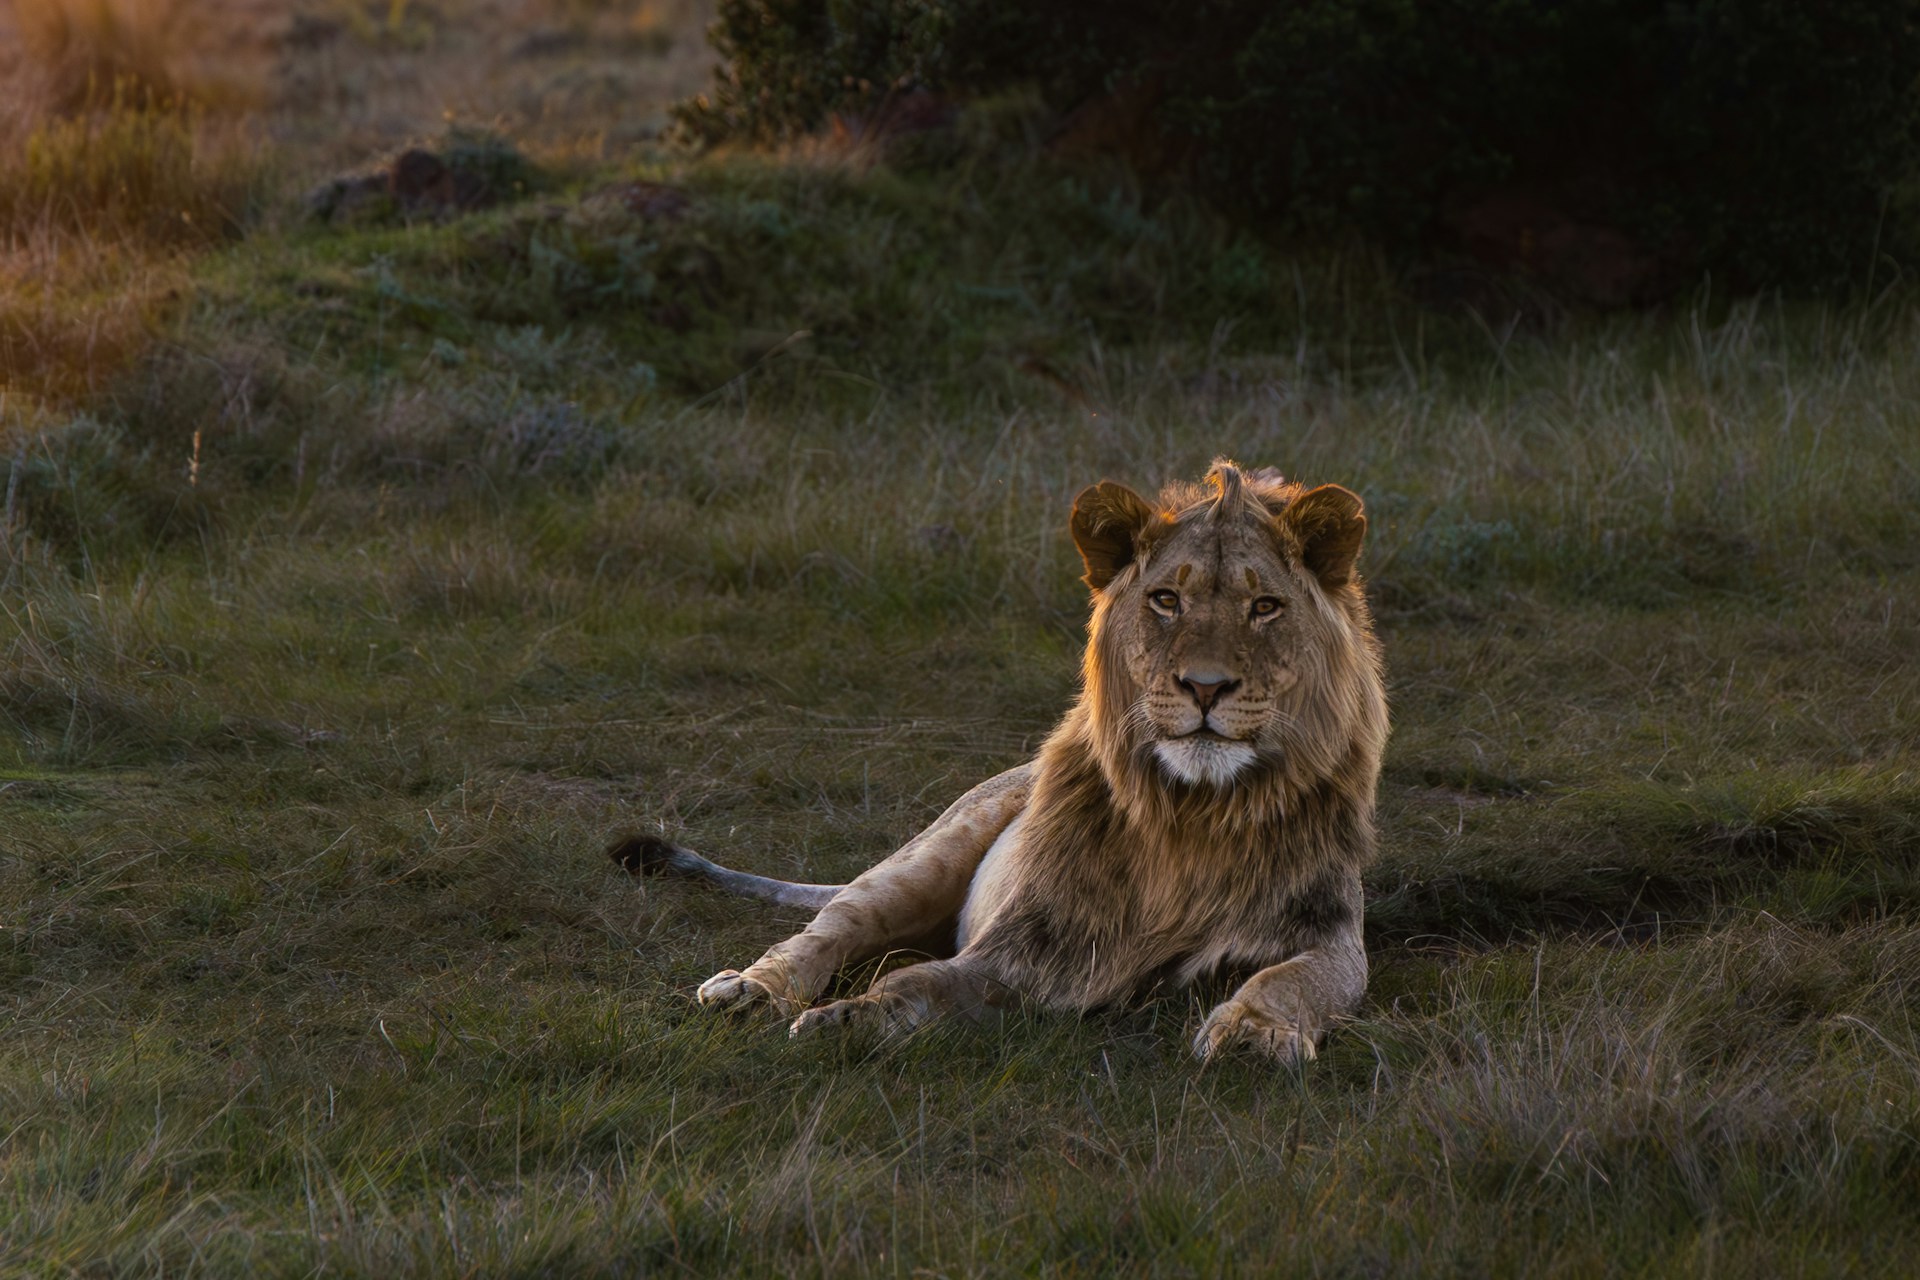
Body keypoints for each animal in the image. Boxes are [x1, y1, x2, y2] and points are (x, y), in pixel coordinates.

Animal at [611, 459, 1388, 1064]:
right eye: (1166, 600)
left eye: (1265, 607)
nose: (1205, 686)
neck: (1195, 813)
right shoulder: (1034, 946)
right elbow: (917, 982)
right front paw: (849, 1020)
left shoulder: (1326, 934)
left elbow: (1294, 981)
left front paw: (1255, 1032)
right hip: (925, 858)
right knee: (827, 932)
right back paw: (750, 990)